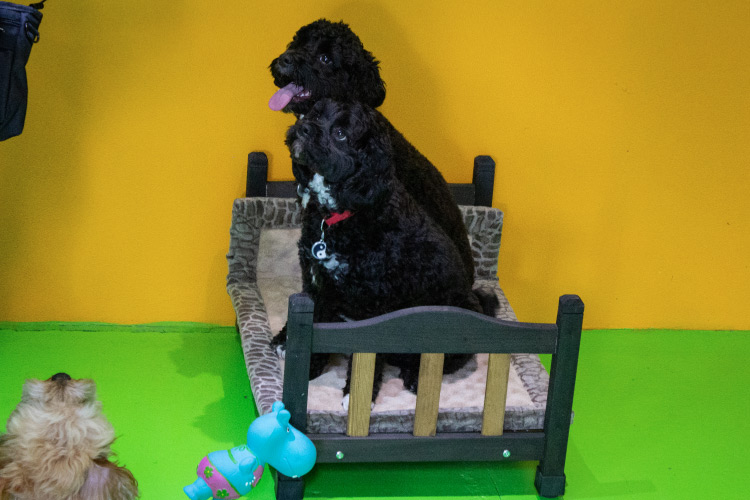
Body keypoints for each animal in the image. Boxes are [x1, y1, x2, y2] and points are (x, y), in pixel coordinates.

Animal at [284, 98, 496, 402]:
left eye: (341, 134)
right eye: (313, 114)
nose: (302, 129)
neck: (341, 216)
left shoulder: (374, 305)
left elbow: (367, 358)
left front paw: (356, 395)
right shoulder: (317, 287)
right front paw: (308, 371)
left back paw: (415, 377)